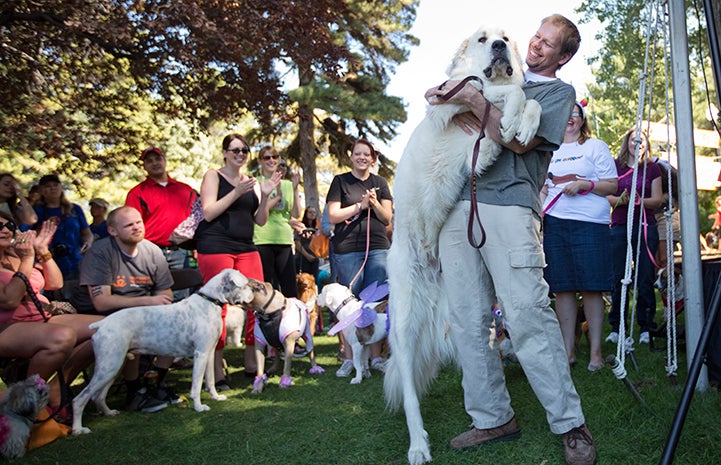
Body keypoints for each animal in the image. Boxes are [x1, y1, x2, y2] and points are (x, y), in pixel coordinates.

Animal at [72, 268, 253, 436]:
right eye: (244, 285)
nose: (253, 293)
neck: (209, 302)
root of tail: (101, 324)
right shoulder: (200, 354)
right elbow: (196, 386)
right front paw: (199, 407)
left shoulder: (208, 354)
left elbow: (210, 380)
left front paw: (215, 397)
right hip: (108, 366)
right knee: (79, 399)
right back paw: (78, 429)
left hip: (113, 367)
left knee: (98, 396)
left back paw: (109, 413)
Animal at [382, 26, 540, 464]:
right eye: (484, 38)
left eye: (506, 37)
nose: (500, 46)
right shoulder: (447, 99)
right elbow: (494, 89)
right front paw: (514, 117)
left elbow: (527, 97)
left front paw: (522, 125)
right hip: (403, 322)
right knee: (410, 394)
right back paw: (418, 445)